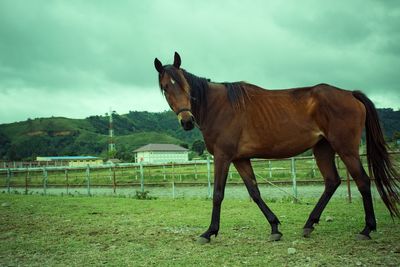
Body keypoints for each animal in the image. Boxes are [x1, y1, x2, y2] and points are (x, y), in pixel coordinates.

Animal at [154, 52, 400, 245]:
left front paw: (209, 232)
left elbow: (217, 194)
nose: (187, 121)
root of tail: (350, 94)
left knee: (363, 181)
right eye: (165, 88)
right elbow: (254, 192)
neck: (218, 106)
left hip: (346, 149)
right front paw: (274, 227)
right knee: (332, 182)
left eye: (185, 86)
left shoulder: (224, 157)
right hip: (322, 149)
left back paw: (366, 229)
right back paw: (309, 224)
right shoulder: (240, 159)